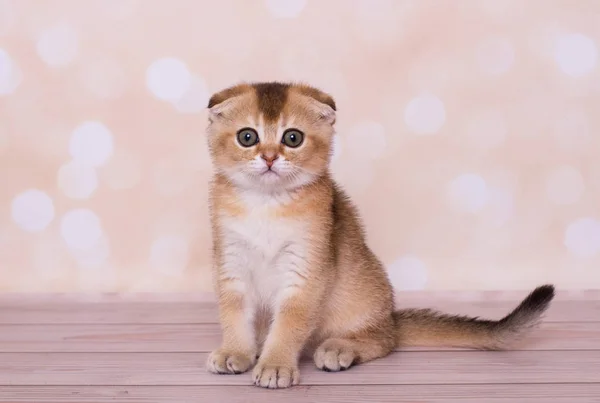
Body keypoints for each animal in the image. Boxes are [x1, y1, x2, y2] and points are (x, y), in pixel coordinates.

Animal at [204, 81, 556, 388]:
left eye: (292, 138)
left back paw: (340, 348)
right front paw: (236, 352)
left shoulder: (306, 269)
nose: (269, 157)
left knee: (384, 340)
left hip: (361, 294)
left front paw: (275, 365)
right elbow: (234, 314)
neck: (266, 204)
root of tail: (392, 318)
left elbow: (290, 323)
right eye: (247, 137)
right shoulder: (231, 262)